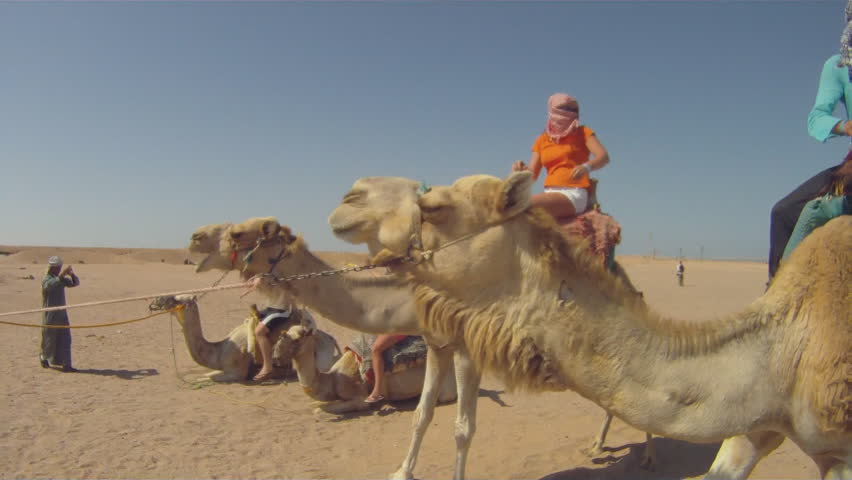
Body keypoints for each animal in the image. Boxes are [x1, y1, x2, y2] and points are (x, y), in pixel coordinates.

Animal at [148, 294, 339, 382]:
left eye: (179, 300)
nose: (155, 301)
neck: (219, 350)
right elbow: (206, 374)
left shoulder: (236, 372)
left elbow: (208, 378)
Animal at [329, 172, 851, 480]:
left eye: (433, 206)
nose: (347, 198)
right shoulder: (757, 426)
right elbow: (422, 414)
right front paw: (401, 471)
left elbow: (460, 426)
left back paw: (648, 456)